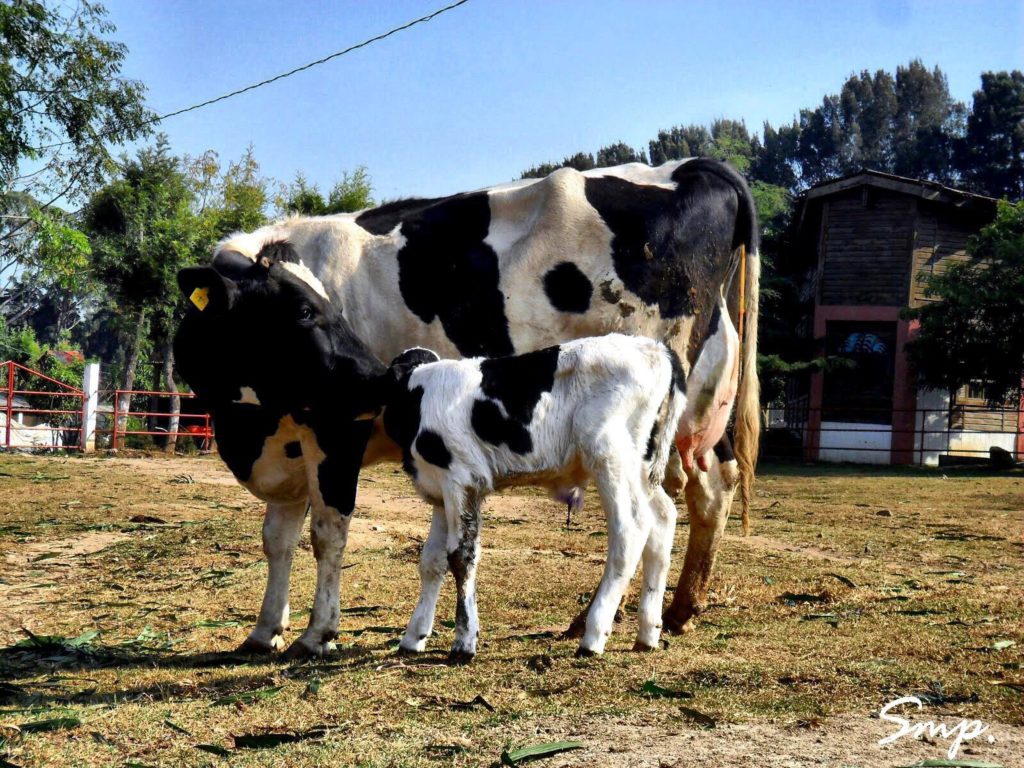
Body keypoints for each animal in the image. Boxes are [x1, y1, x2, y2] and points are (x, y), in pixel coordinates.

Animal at [174, 159, 761, 659]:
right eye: (301, 311)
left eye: (318, 308)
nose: (373, 377)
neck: (247, 424)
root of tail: (693, 166)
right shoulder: (286, 445)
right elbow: (278, 540)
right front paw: (264, 629)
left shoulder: (334, 432)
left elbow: (327, 535)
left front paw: (318, 633)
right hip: (697, 408)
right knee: (706, 489)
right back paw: (674, 613)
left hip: (627, 438)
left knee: (648, 516)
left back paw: (595, 624)